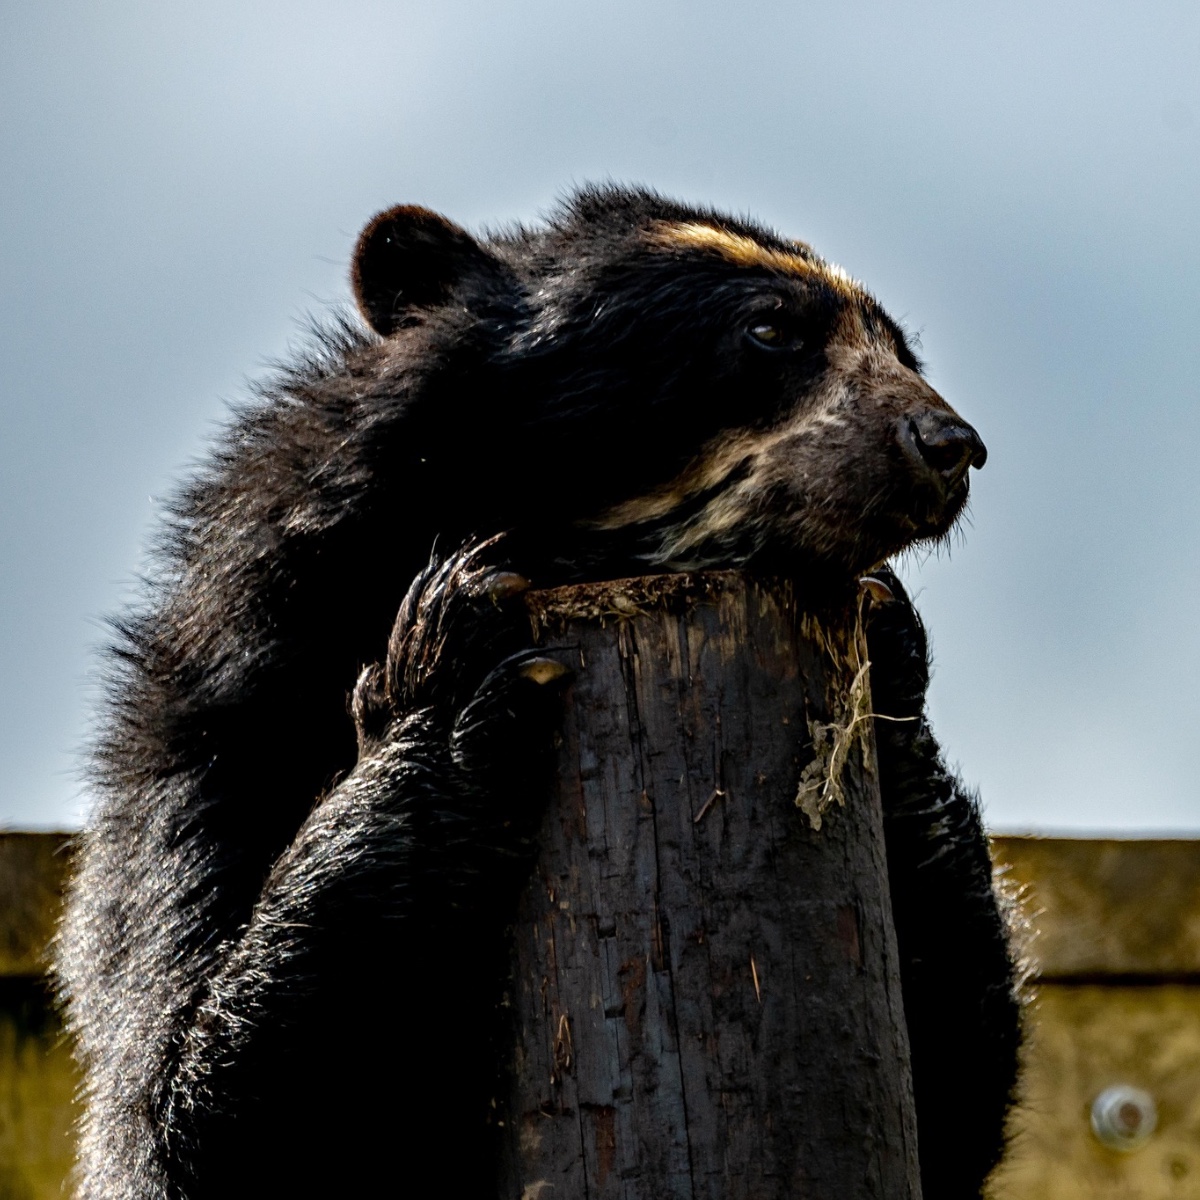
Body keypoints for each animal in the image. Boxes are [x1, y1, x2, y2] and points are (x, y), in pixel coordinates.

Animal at [58, 187, 1022, 1200]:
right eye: (768, 330)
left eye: (904, 354)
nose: (952, 446)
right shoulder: (211, 755)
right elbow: (196, 1115)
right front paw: (443, 681)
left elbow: (947, 1094)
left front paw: (894, 665)